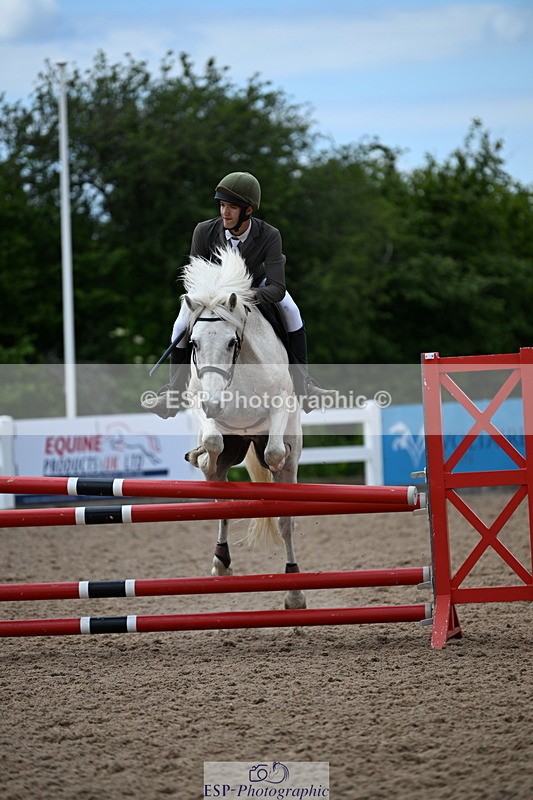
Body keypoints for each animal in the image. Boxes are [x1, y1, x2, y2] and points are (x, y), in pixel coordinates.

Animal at [180, 246, 306, 610]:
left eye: (231, 342)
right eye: (193, 343)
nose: (214, 404)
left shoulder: (280, 404)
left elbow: (275, 452)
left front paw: (274, 462)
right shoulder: (200, 402)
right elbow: (211, 441)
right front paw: (200, 455)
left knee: (286, 520)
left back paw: (294, 592)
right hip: (232, 450)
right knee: (221, 494)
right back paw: (220, 562)